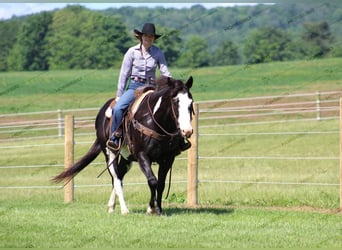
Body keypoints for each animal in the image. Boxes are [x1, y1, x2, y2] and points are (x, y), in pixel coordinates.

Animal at [52, 76, 194, 215]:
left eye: (190, 102)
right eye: (175, 101)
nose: (187, 131)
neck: (155, 121)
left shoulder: (168, 159)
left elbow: (160, 184)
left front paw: (157, 209)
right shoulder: (142, 156)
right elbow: (152, 181)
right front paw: (151, 208)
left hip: (127, 158)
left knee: (119, 175)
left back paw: (111, 206)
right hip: (110, 153)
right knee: (116, 179)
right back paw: (124, 210)